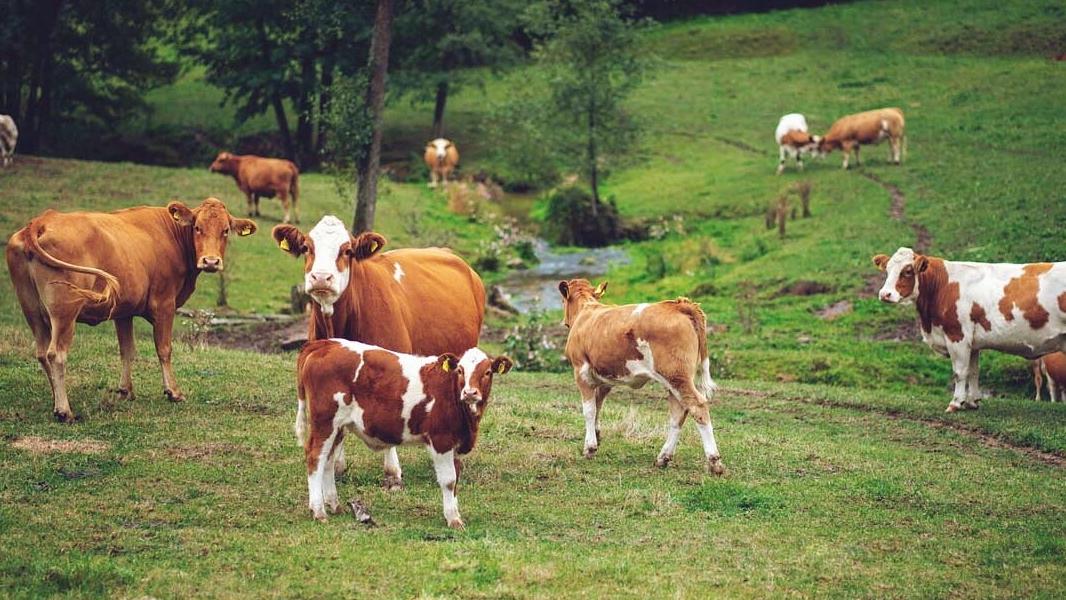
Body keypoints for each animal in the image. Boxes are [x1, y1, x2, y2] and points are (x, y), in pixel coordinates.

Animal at [6, 198, 257, 422]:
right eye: (197, 228)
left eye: (226, 230)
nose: (211, 261)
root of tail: (42, 221)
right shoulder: (164, 304)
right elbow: (164, 349)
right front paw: (173, 392)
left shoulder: (123, 311)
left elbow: (127, 350)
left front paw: (125, 391)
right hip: (65, 311)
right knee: (55, 354)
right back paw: (64, 410)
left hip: (31, 309)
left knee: (41, 353)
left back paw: (56, 398)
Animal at [294, 341, 509, 528]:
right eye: (460, 370)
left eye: (487, 372)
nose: (470, 393)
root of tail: (325, 344)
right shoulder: (441, 440)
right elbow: (449, 480)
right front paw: (453, 519)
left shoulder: (456, 443)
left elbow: (456, 478)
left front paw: (452, 513)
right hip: (324, 421)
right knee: (315, 458)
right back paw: (318, 511)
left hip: (338, 426)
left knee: (328, 460)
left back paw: (334, 505)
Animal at [558, 279, 724, 477]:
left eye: (562, 301)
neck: (586, 310)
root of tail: (679, 305)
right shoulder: (605, 377)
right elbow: (598, 405)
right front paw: (597, 437)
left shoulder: (581, 371)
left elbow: (589, 410)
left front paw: (589, 448)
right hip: (675, 380)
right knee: (678, 413)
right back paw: (663, 458)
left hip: (676, 376)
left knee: (697, 406)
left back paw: (714, 462)